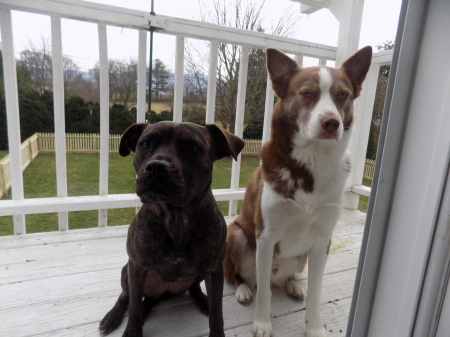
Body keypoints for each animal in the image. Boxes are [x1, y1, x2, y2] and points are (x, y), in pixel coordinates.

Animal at [99, 121, 244, 336]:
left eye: (193, 148)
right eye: (146, 144)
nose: (157, 166)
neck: (176, 217)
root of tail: (164, 292)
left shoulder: (214, 270)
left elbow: (218, 313)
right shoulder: (137, 266)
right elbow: (134, 307)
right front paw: (133, 330)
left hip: (198, 273)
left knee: (192, 289)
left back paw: (203, 301)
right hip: (127, 271)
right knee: (127, 296)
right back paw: (112, 317)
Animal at [223, 45, 370, 336]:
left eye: (343, 95)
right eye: (307, 94)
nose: (331, 123)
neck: (312, 163)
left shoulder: (323, 239)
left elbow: (316, 292)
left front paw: (315, 327)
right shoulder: (266, 236)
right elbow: (264, 293)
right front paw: (262, 323)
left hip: (301, 257)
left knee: (284, 278)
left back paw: (292, 284)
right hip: (236, 234)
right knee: (240, 277)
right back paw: (244, 289)